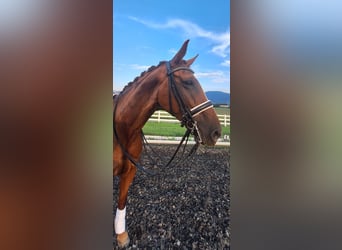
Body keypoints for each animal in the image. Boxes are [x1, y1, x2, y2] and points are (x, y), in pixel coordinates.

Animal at [114, 40, 222, 247]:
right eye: (188, 82)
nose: (216, 132)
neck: (123, 129)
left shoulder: (130, 170)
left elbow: (122, 200)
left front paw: (121, 235)